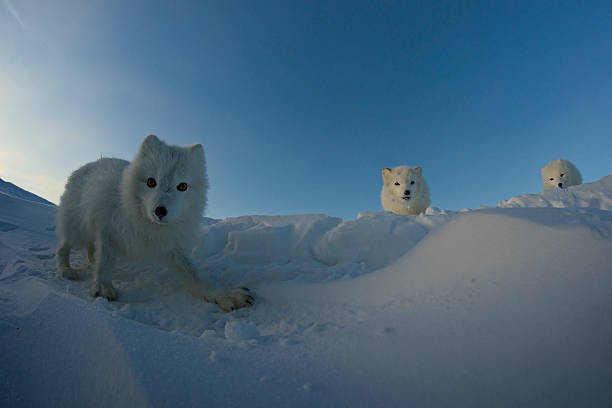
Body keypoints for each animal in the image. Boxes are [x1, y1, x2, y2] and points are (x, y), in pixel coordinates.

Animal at [54, 135, 251, 310]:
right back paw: (66, 269)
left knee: (88, 247)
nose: (160, 211)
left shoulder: (171, 244)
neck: (146, 224)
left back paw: (90, 259)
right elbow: (105, 261)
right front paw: (102, 288)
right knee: (63, 247)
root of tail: (88, 164)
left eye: (182, 186)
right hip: (76, 227)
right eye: (151, 182)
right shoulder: (107, 230)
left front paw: (222, 294)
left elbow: (194, 274)